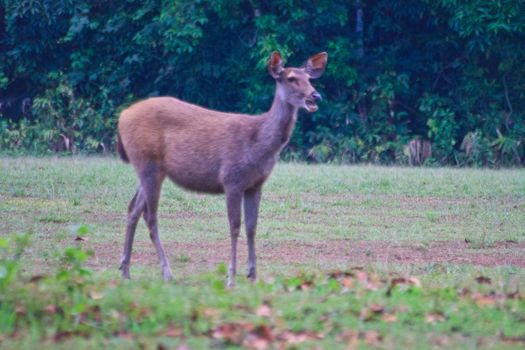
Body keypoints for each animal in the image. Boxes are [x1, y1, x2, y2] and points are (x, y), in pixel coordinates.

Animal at [117, 52, 328, 288]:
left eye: (309, 78)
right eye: (291, 78)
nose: (315, 96)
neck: (259, 144)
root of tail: (122, 117)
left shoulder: (256, 184)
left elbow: (252, 226)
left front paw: (252, 275)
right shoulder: (231, 179)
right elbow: (234, 226)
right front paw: (231, 277)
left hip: (150, 168)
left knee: (133, 208)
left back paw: (125, 270)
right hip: (148, 162)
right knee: (150, 215)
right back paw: (166, 272)